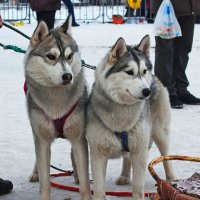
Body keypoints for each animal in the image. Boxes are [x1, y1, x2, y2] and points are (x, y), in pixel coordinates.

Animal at [24, 15, 91, 200]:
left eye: (69, 56)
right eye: (51, 56)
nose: (68, 76)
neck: (57, 103)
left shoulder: (78, 137)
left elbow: (85, 183)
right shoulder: (42, 140)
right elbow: (45, 182)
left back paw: (76, 174)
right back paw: (35, 173)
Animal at [86, 35, 174, 199]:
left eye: (144, 71)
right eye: (129, 72)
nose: (147, 91)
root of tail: (154, 78)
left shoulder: (140, 152)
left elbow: (138, 188)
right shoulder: (97, 154)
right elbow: (99, 189)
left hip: (159, 132)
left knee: (166, 156)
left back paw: (172, 180)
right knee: (127, 157)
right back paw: (125, 176)